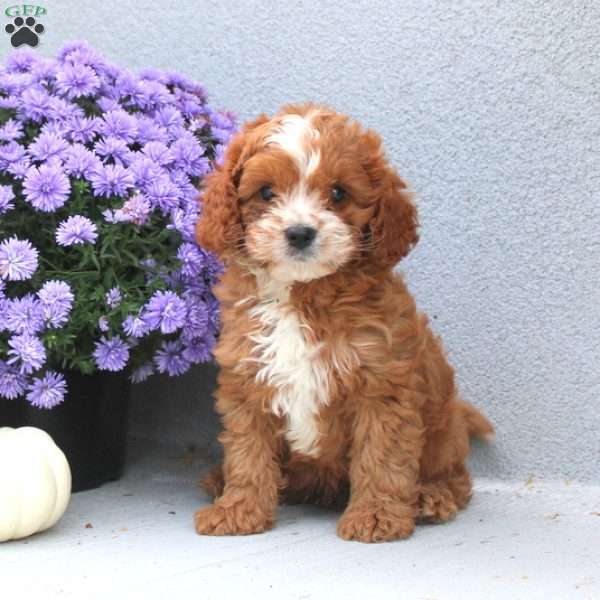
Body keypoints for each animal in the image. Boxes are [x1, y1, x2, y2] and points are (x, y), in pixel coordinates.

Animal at [193, 103, 492, 544]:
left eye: (338, 193)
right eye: (265, 192)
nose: (300, 233)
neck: (303, 295)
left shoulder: (382, 384)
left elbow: (382, 456)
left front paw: (376, 516)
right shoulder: (248, 377)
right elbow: (247, 453)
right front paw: (238, 510)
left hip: (442, 434)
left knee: (457, 478)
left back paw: (430, 498)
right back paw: (220, 480)